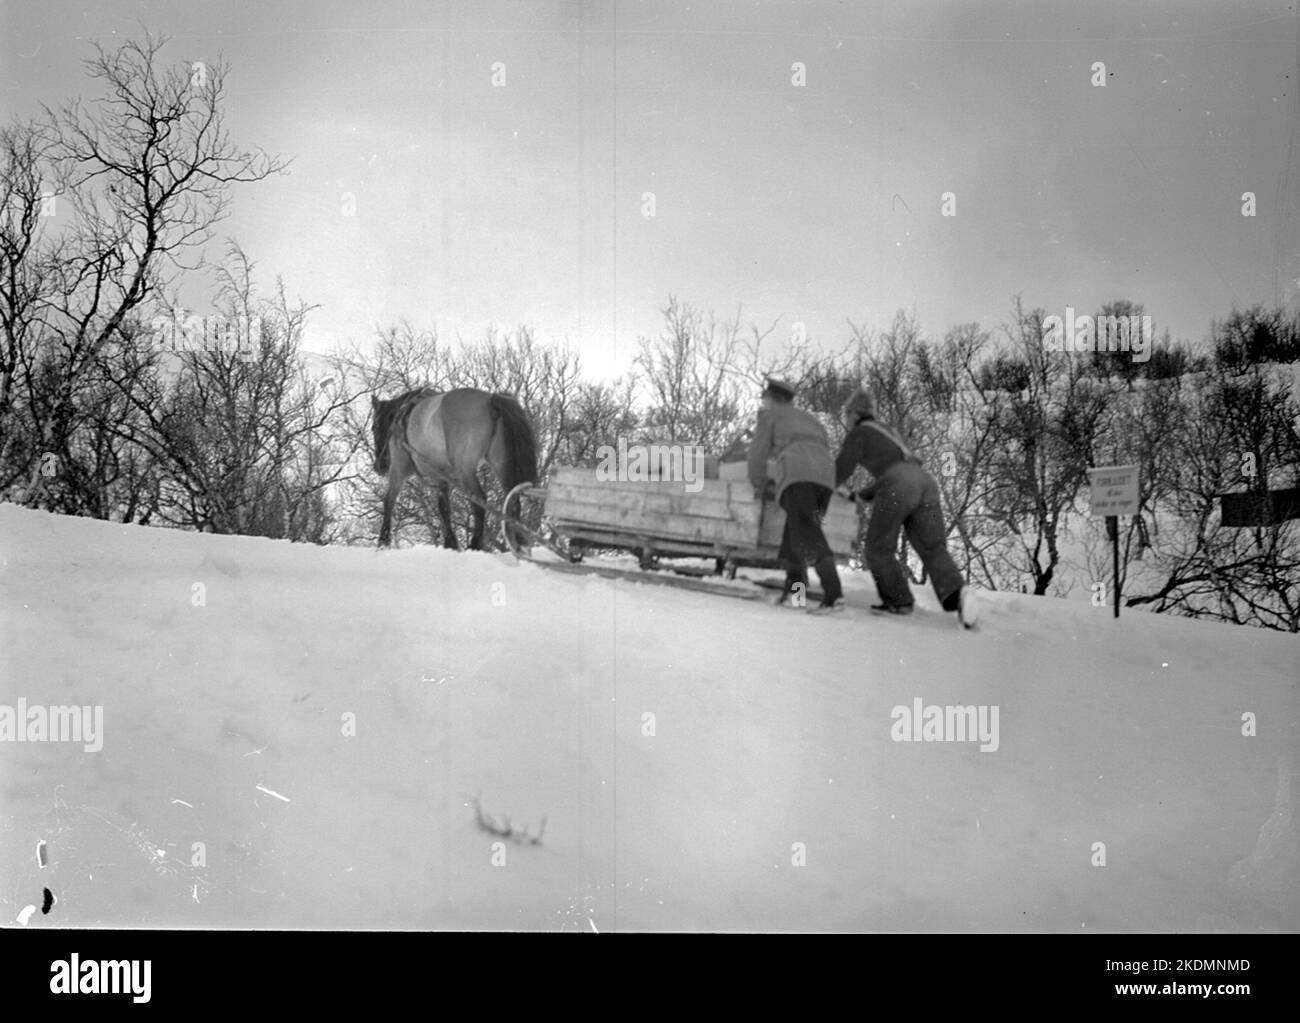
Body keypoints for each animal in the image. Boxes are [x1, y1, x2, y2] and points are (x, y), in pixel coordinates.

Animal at [371, 387, 538, 550]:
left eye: (374, 427)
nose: (379, 465)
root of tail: (490, 399)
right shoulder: (441, 478)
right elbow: (444, 507)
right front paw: (450, 543)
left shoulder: (398, 469)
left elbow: (389, 500)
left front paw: (383, 540)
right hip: (499, 463)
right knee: (513, 499)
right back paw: (517, 540)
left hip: (465, 470)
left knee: (479, 499)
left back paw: (475, 544)